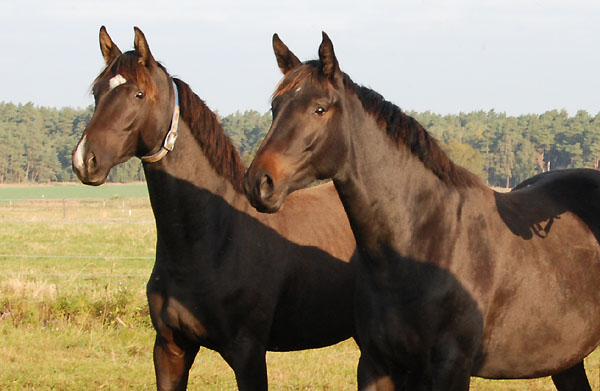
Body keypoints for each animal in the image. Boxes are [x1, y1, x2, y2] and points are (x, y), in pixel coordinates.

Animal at [72, 26, 364, 390]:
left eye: (138, 94)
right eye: (97, 92)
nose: (85, 160)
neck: (213, 239)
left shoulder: (248, 353)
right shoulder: (170, 349)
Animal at [244, 32, 600, 390]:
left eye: (319, 109)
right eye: (275, 107)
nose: (259, 182)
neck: (421, 243)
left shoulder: (451, 367)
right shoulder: (377, 364)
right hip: (566, 360)